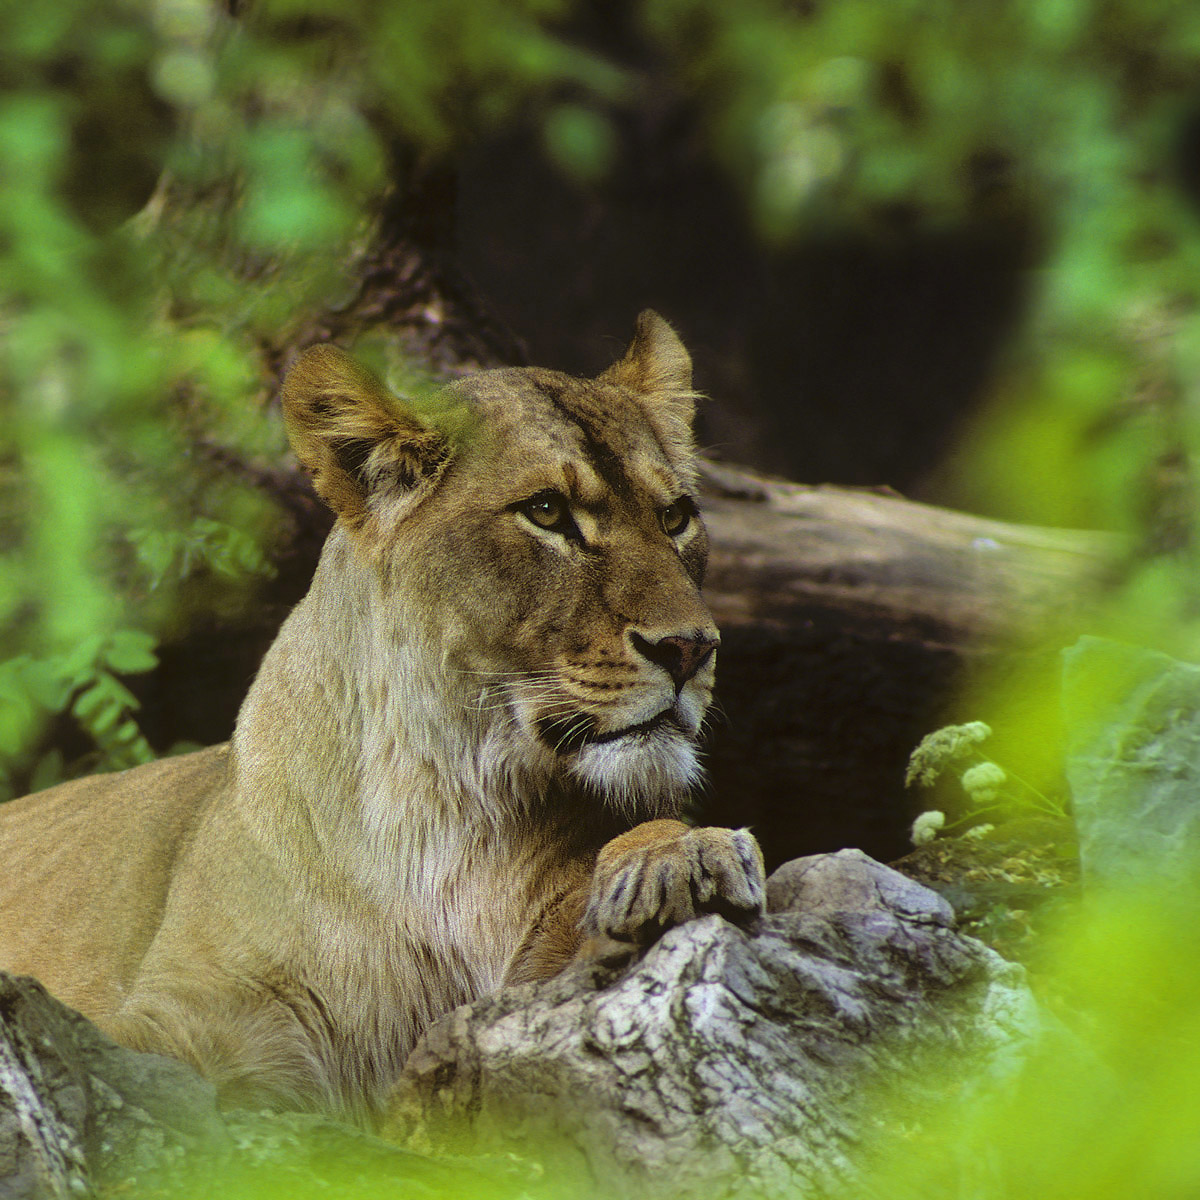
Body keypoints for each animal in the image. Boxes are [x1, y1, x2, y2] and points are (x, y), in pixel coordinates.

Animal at [0, 311, 765, 1127]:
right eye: (547, 512)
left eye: (675, 517)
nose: (691, 648)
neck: (447, 805)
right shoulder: (188, 1019)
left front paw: (677, 857)